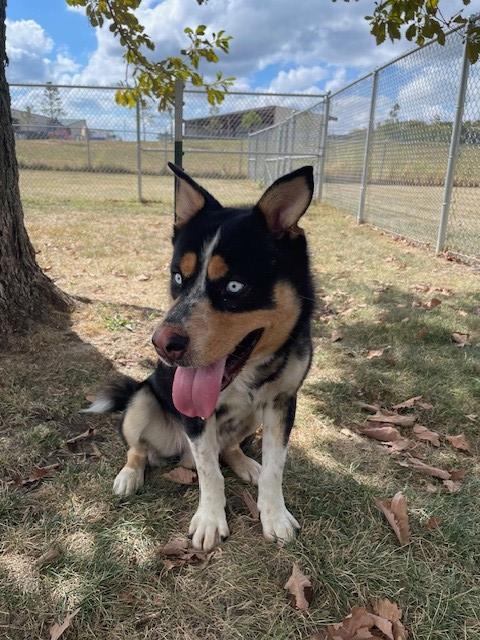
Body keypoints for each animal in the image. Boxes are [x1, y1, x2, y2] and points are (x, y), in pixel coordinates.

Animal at [84, 162, 316, 552]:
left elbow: (274, 467)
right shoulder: (193, 415)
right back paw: (129, 475)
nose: (162, 344)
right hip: (142, 402)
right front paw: (209, 520)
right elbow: (210, 472)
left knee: (230, 446)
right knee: (138, 448)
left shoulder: (282, 402)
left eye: (235, 286)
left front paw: (275, 516)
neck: (247, 373)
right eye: (179, 277)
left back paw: (244, 462)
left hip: (251, 418)